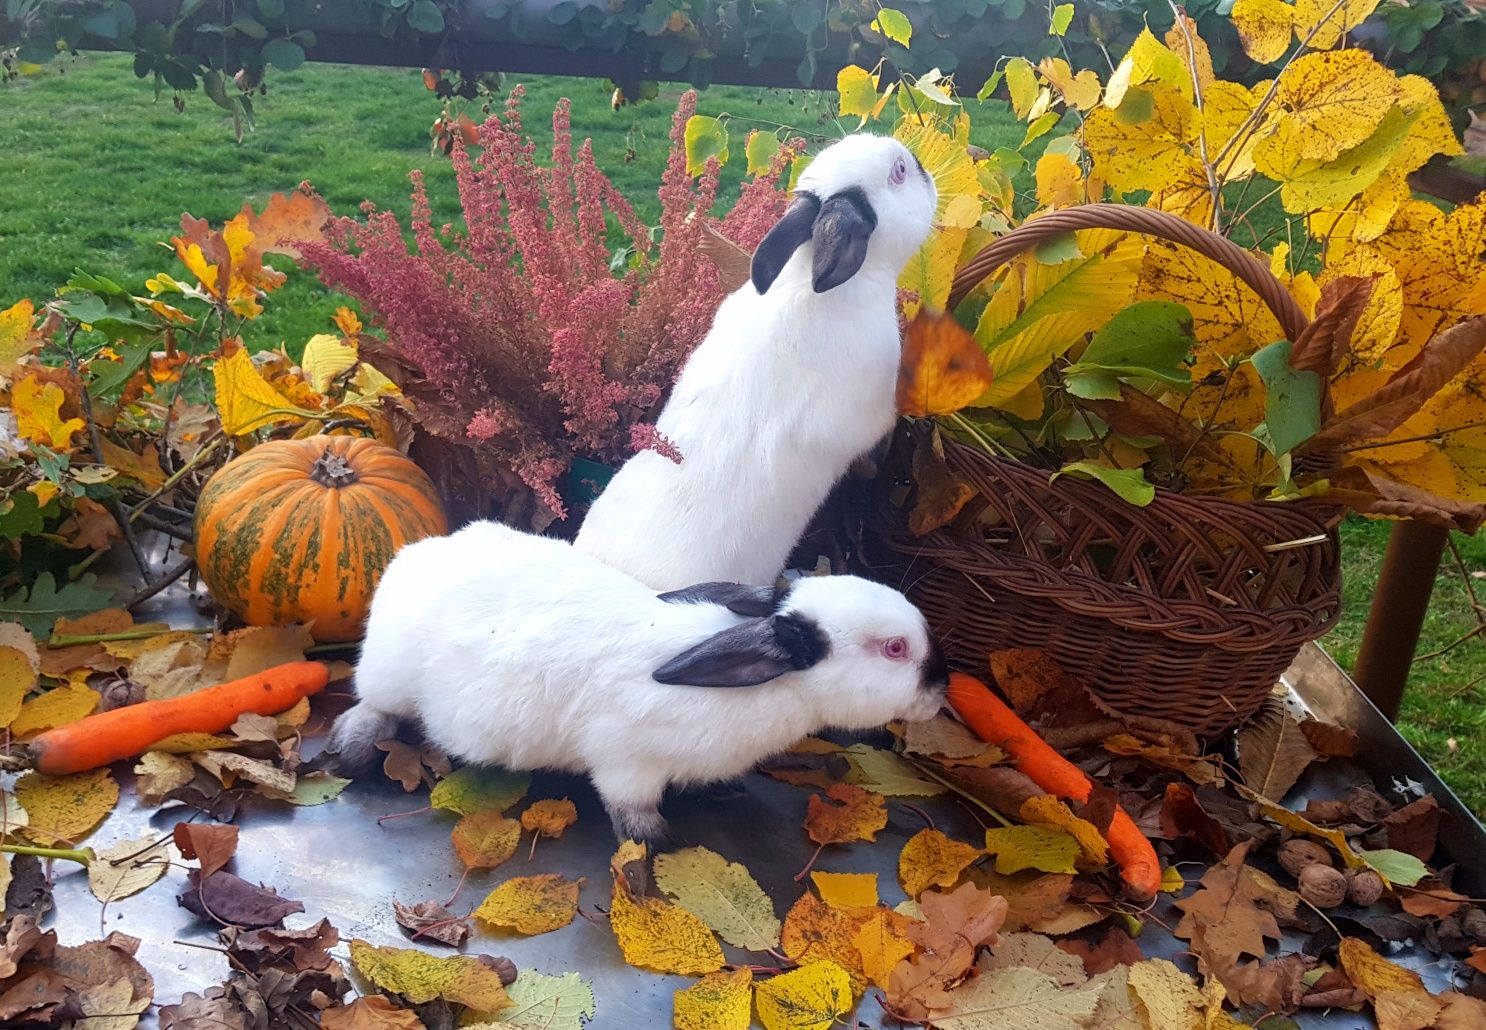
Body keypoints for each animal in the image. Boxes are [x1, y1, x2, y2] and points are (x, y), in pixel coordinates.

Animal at [331, 523, 945, 844]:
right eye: (895, 649)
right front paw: (654, 841)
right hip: (388, 676)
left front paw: (723, 790)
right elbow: (631, 806)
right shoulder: (626, 760)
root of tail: (412, 555)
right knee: (372, 708)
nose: (941, 689)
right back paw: (348, 751)